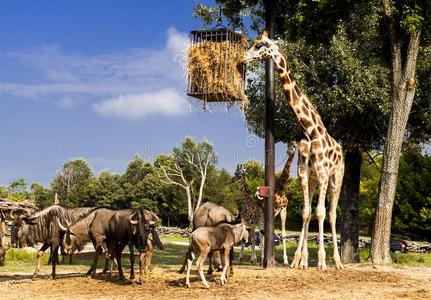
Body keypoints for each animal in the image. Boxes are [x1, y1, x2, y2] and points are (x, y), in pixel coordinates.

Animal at [241, 30, 346, 270]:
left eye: (259, 45)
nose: (242, 59)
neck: (310, 129)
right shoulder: (304, 173)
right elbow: (307, 213)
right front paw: (300, 260)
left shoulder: (324, 173)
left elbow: (320, 213)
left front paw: (321, 262)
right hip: (315, 181)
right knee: (314, 212)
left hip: (336, 177)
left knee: (332, 214)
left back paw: (337, 262)